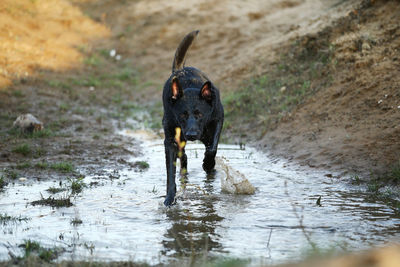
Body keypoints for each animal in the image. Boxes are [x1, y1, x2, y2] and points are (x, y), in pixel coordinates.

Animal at [162, 31, 225, 207]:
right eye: (182, 115)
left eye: (200, 114)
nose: (191, 134)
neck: (189, 87)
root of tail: (181, 69)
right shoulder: (170, 140)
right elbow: (170, 172)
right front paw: (170, 198)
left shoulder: (217, 119)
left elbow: (212, 148)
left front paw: (208, 163)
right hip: (180, 139)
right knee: (183, 157)